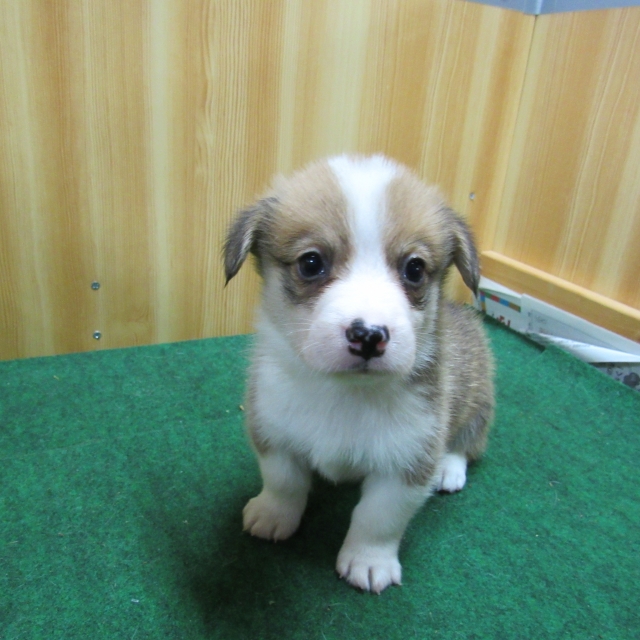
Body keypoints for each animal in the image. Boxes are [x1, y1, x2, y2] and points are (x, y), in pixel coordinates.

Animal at [224, 155, 494, 593]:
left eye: (414, 269)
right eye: (311, 263)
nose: (368, 336)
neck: (345, 393)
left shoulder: (406, 463)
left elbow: (378, 519)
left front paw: (369, 562)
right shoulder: (274, 432)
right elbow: (283, 483)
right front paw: (273, 516)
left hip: (478, 397)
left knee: (466, 439)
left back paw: (449, 469)